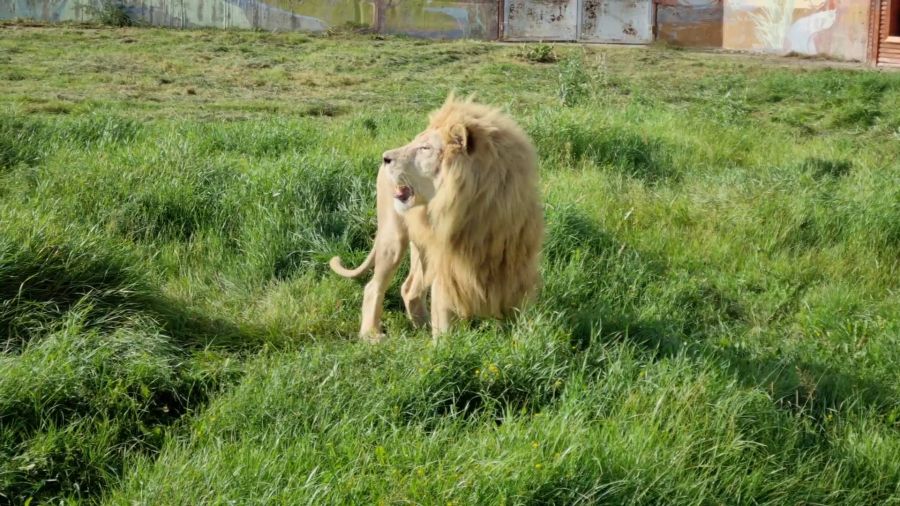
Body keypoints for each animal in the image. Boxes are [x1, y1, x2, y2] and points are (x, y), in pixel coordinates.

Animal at [328, 95, 540, 340]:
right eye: (418, 143)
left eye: (425, 147)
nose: (385, 158)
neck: (475, 208)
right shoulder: (446, 263)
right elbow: (444, 312)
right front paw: (445, 344)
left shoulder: (513, 261)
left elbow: (516, 311)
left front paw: (518, 337)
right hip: (393, 239)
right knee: (374, 287)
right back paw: (371, 335)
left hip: (421, 249)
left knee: (409, 289)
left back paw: (422, 327)